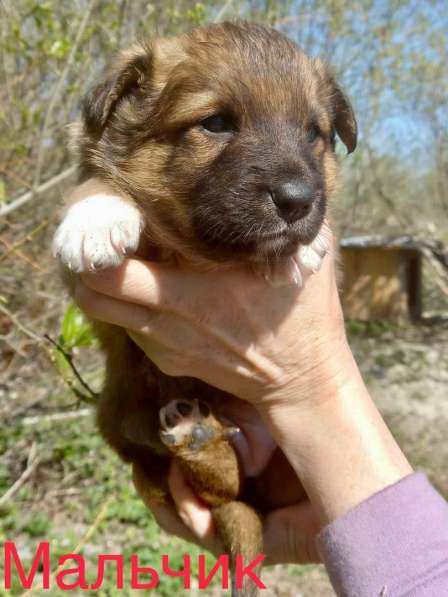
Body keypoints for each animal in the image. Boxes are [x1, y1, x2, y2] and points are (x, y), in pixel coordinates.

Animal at [52, 19, 356, 596]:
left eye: (314, 133)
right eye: (215, 124)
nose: (298, 201)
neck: (201, 250)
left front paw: (305, 247)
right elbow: (97, 182)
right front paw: (96, 216)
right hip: (122, 423)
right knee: (218, 487)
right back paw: (198, 437)